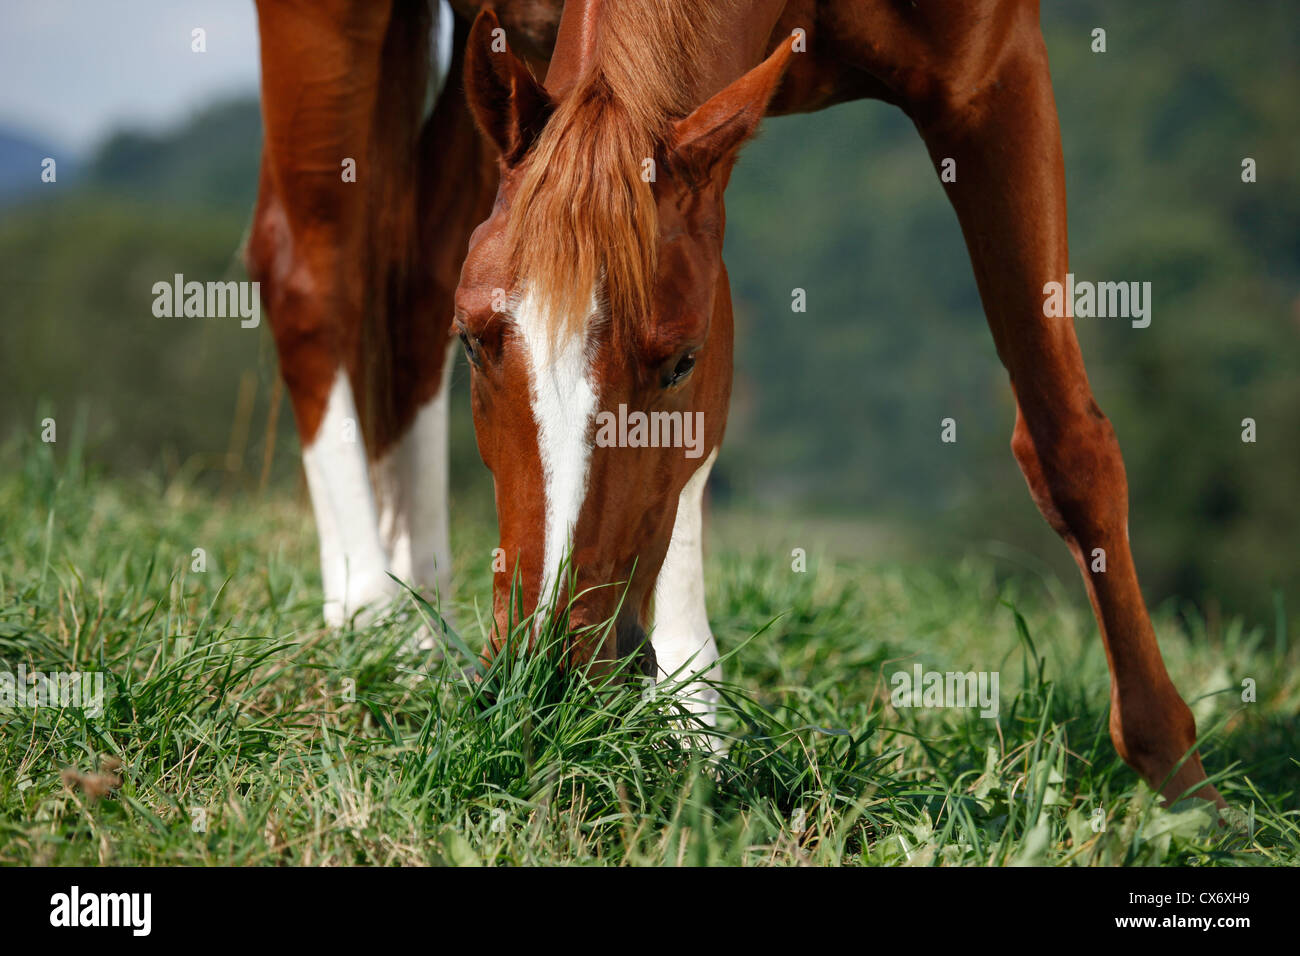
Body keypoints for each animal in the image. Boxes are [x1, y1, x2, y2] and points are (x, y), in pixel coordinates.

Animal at [248, 0, 1224, 809]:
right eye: (479, 344)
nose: (547, 683)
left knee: (411, 279)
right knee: (311, 275)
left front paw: (1179, 782)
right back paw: (370, 612)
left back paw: (423, 618)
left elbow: (1067, 440)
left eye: (679, 361)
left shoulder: (988, 76)